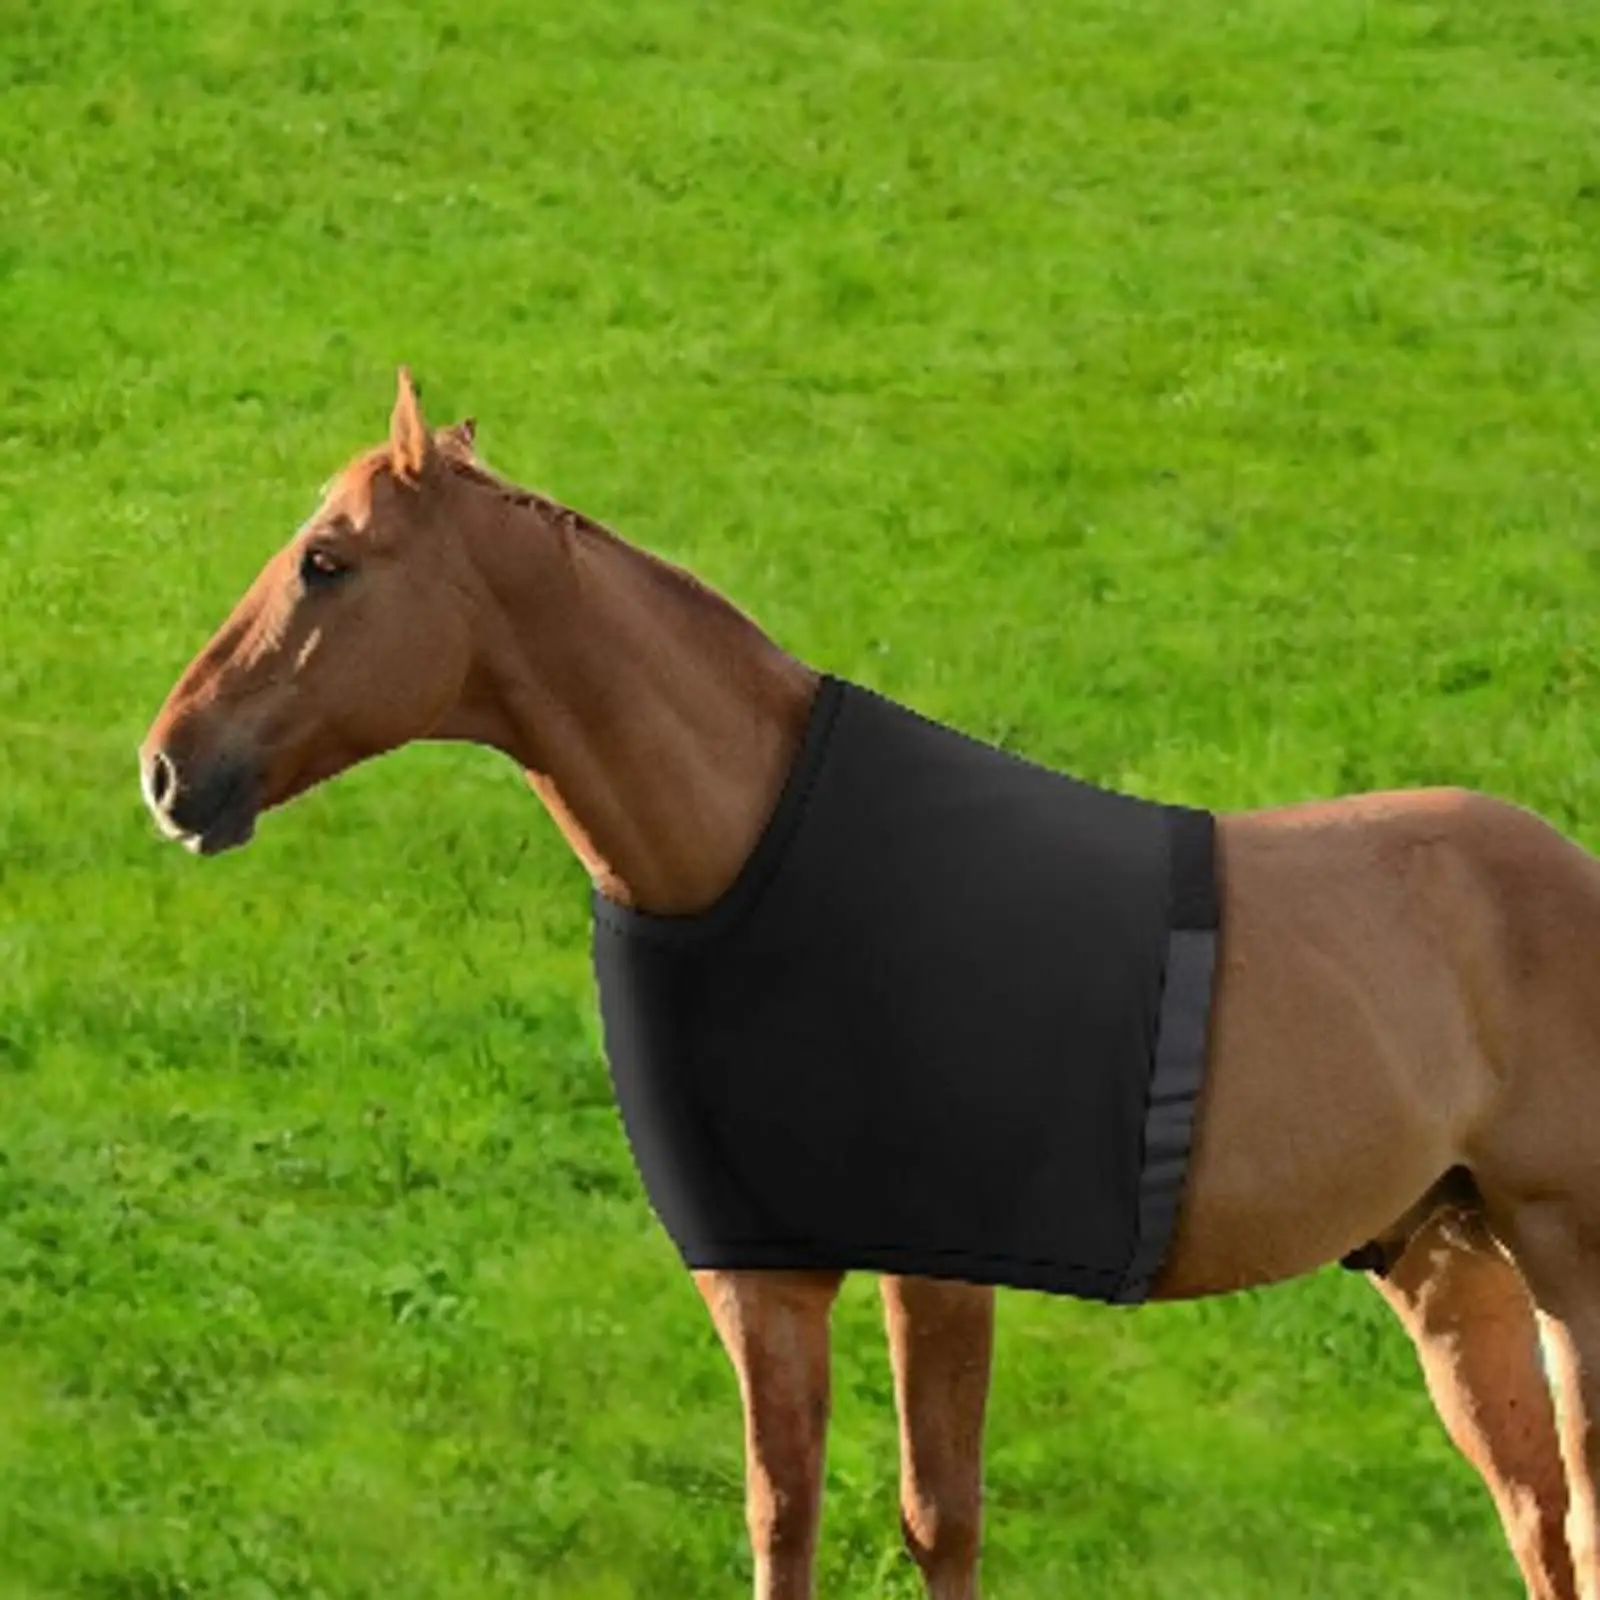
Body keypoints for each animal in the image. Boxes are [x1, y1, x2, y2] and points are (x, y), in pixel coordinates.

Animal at [139, 368, 1600, 1600]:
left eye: (326, 561)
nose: (169, 768)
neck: (753, 856)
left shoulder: (940, 1272)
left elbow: (937, 1515)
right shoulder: (765, 1279)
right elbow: (780, 1515)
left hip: (1566, 1264)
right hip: (1448, 1264)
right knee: (1538, 1516)